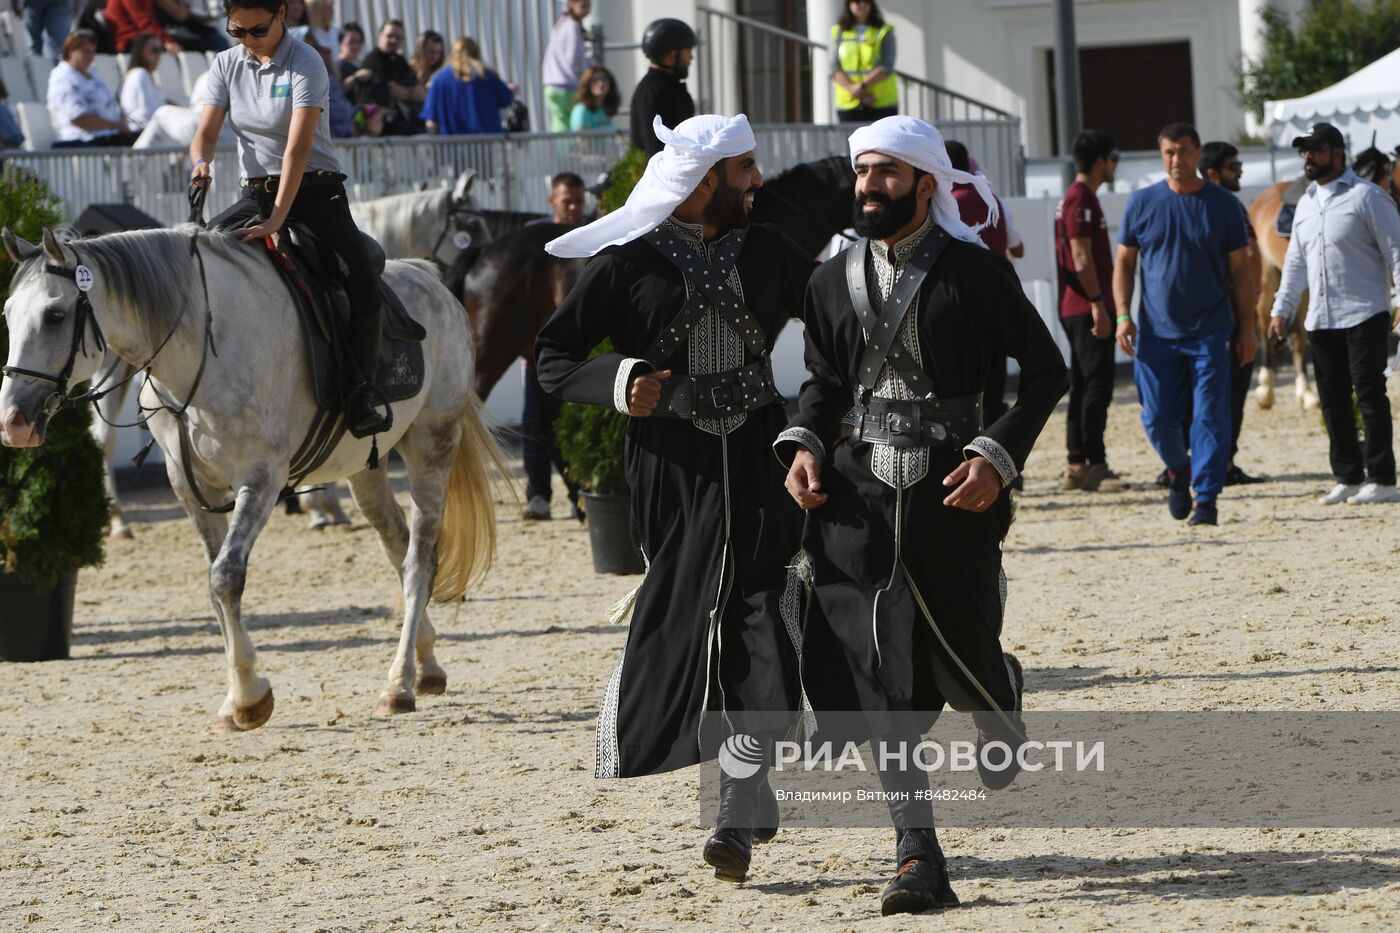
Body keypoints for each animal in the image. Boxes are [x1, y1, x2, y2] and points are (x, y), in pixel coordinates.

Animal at [2, 225, 506, 728]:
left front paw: (249, 697)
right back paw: (426, 665)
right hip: (367, 470)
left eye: (54, 315)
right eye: (8, 315)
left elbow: (226, 577)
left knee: (420, 561)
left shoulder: (261, 479)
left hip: (432, 446)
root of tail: (431, 279)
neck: (202, 345)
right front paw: (238, 697)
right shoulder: (189, 487)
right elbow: (213, 584)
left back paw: (398, 685)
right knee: (398, 546)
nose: (14, 422)